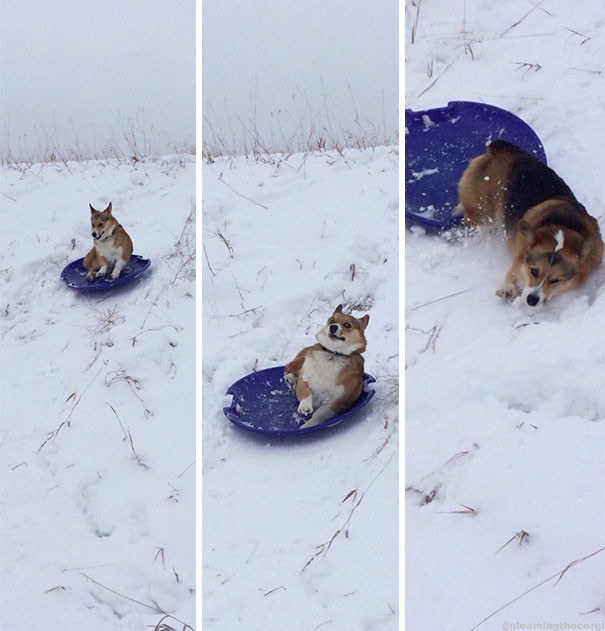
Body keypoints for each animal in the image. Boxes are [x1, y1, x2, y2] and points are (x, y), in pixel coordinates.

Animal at [456, 140, 600, 306]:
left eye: (555, 280)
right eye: (534, 271)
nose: (532, 300)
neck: (564, 226)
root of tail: (501, 147)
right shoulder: (520, 257)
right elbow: (512, 274)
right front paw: (508, 289)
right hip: (481, 214)